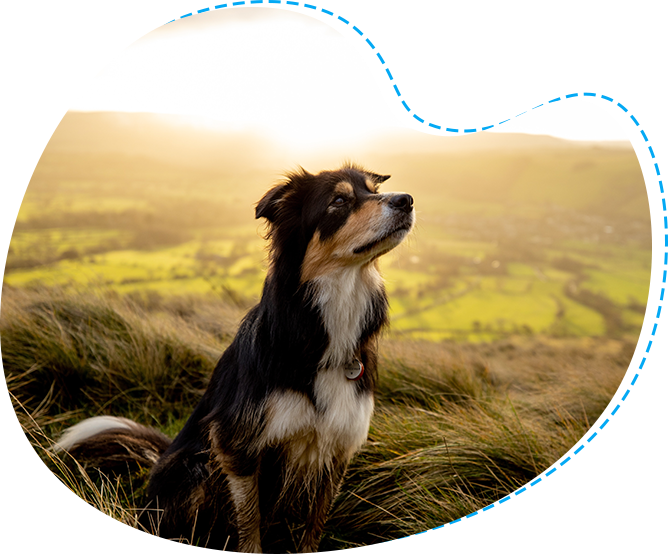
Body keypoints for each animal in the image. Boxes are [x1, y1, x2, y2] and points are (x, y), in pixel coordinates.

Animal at [53, 162, 412, 548]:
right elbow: (249, 521)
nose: (406, 200)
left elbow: (314, 525)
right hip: (194, 467)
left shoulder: (337, 447)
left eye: (373, 190)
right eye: (340, 201)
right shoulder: (235, 445)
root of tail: (159, 460)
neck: (320, 334)